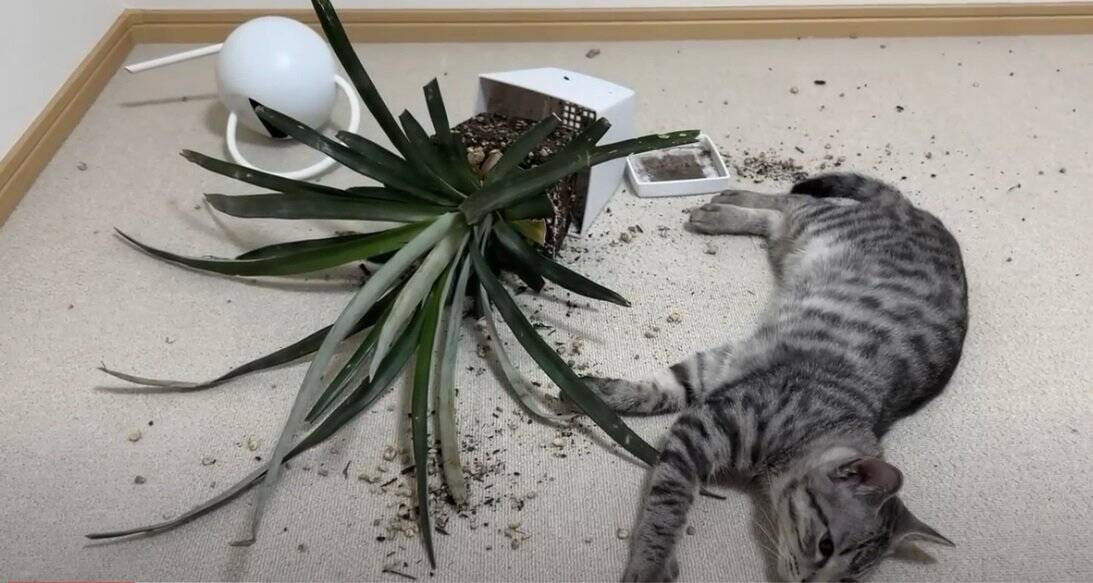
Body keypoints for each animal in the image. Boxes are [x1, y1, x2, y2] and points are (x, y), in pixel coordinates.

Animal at [578, 173, 968, 582]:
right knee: (791, 201)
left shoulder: (718, 371)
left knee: (779, 219)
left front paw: (602, 393)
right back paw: (727, 202)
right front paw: (651, 562)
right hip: (819, 221)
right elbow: (668, 502)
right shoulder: (706, 422)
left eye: (847, 580)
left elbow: (666, 389)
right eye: (825, 545)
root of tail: (924, 217)